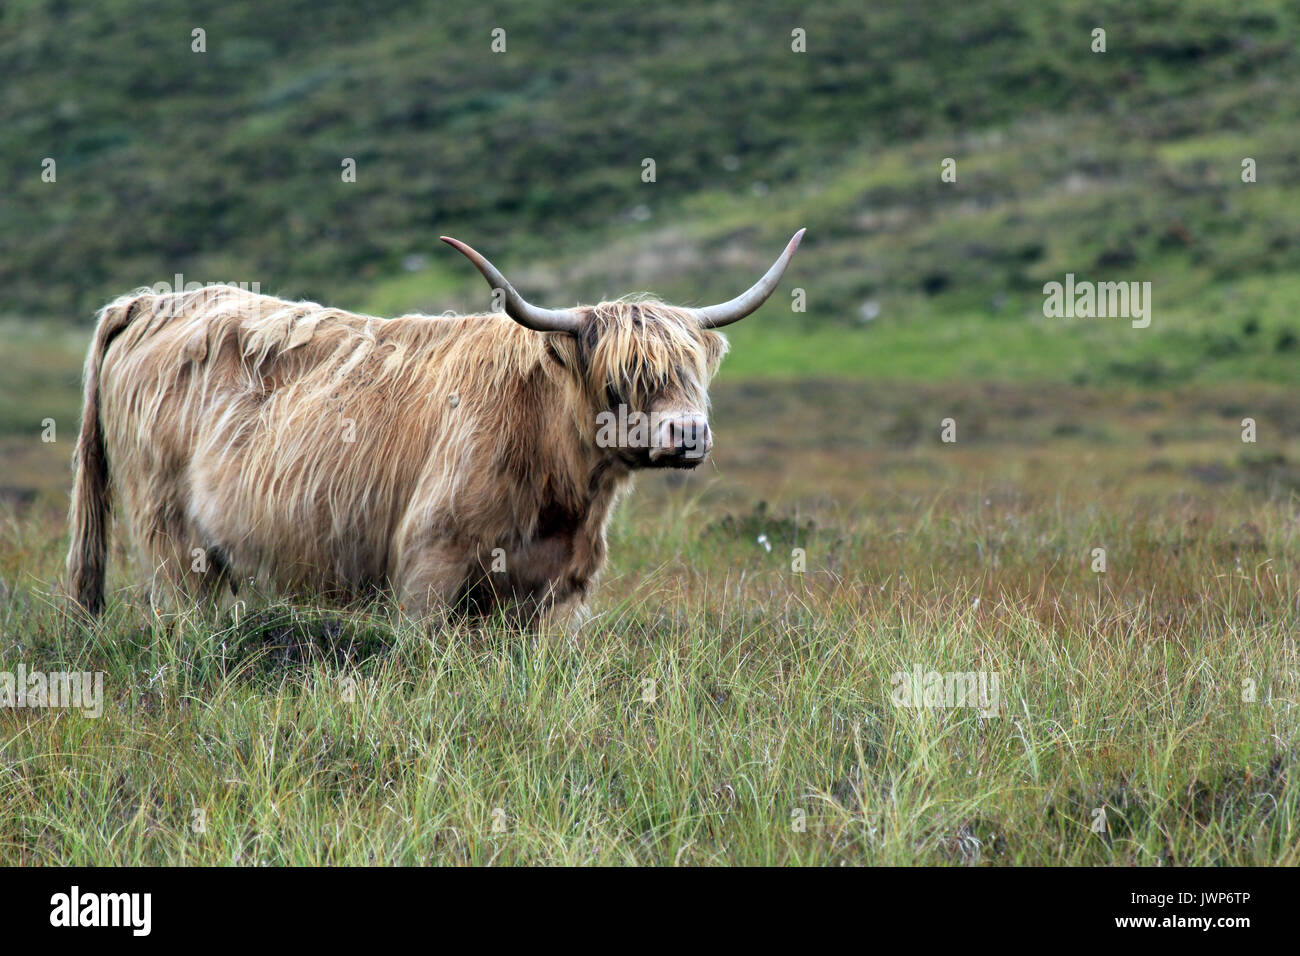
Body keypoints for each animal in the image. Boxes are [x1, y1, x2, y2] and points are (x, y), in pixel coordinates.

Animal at [66, 229, 804, 624]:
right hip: (171, 540)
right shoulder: (428, 570)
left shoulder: (563, 592)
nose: (687, 435)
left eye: (692, 376)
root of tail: (152, 302)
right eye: (618, 382)